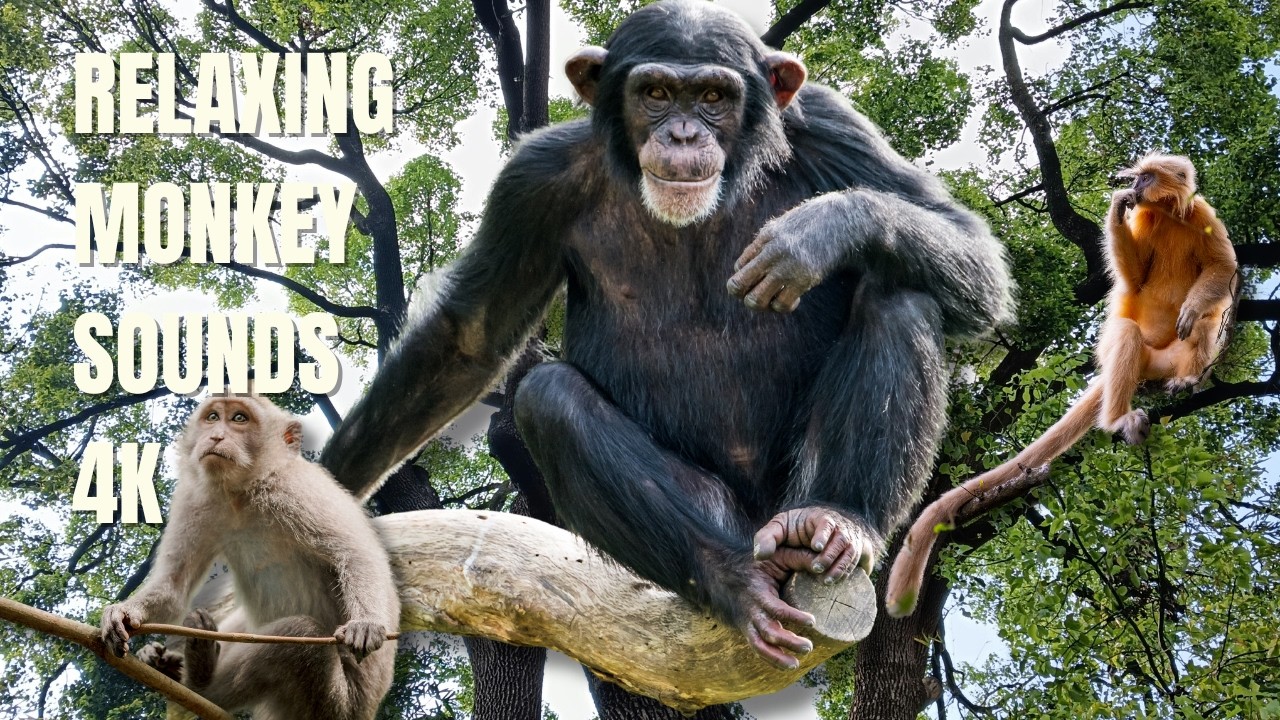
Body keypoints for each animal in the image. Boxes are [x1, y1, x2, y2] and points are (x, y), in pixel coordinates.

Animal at [100, 394, 399, 720]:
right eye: (213, 417)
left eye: (239, 419)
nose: (216, 436)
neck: (243, 492)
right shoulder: (197, 499)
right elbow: (173, 586)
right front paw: (124, 613)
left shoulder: (295, 488)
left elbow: (357, 554)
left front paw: (366, 623)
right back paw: (170, 665)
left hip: (332, 705)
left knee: (299, 633)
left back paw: (197, 684)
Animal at [884, 153, 1238, 617]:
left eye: (1146, 177)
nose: (1134, 187)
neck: (1167, 216)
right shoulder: (1147, 220)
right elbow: (1137, 278)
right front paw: (1115, 208)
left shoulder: (1199, 215)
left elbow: (1222, 268)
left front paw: (1192, 310)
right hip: (1140, 354)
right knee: (1126, 333)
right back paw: (1118, 419)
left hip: (1169, 358)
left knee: (1204, 325)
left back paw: (1187, 378)